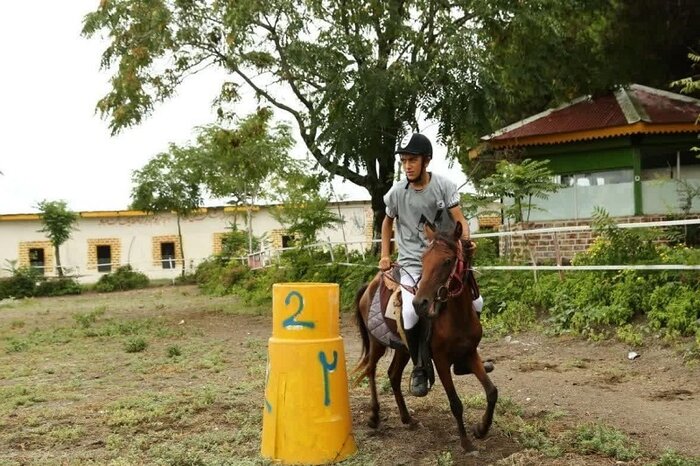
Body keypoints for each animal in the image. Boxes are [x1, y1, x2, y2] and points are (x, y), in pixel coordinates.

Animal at [356, 222, 498, 452]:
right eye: (423, 260)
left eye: (447, 261)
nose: (419, 303)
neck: (456, 317)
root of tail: (370, 286)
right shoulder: (440, 360)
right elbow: (455, 403)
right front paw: (466, 443)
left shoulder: (470, 353)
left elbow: (492, 392)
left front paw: (481, 429)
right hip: (376, 343)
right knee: (370, 370)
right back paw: (374, 416)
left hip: (403, 349)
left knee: (393, 375)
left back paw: (407, 419)